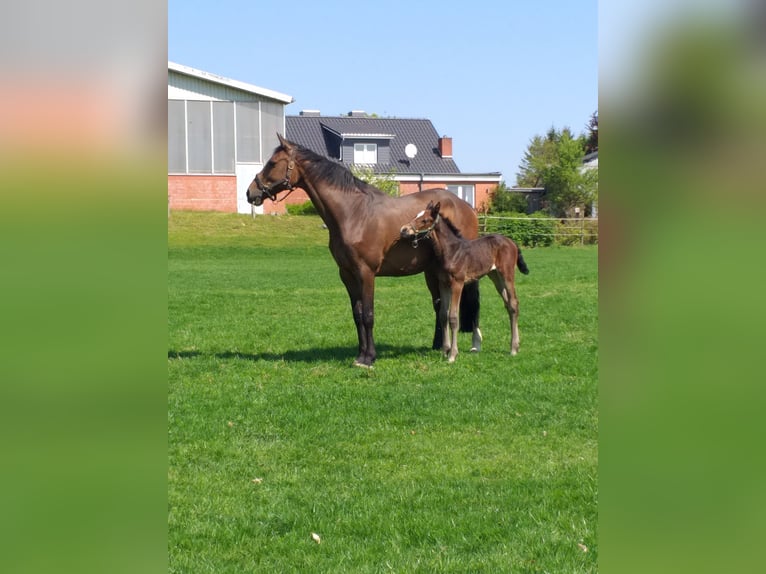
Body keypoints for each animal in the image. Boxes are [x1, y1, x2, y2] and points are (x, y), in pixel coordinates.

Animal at [246, 136, 484, 368]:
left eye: (272, 163)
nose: (250, 192)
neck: (354, 213)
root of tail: (465, 206)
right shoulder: (347, 274)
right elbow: (357, 315)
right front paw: (360, 355)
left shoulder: (366, 273)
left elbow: (368, 315)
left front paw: (370, 358)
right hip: (432, 271)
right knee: (438, 305)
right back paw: (437, 345)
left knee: (471, 303)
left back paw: (474, 344)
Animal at [400, 202, 532, 364]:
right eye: (416, 215)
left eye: (425, 220)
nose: (404, 229)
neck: (450, 251)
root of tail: (512, 242)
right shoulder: (443, 284)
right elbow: (443, 315)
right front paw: (445, 351)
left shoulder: (458, 283)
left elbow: (453, 317)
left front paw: (452, 355)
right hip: (495, 276)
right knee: (509, 305)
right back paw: (516, 346)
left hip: (506, 274)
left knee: (513, 303)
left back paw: (513, 349)